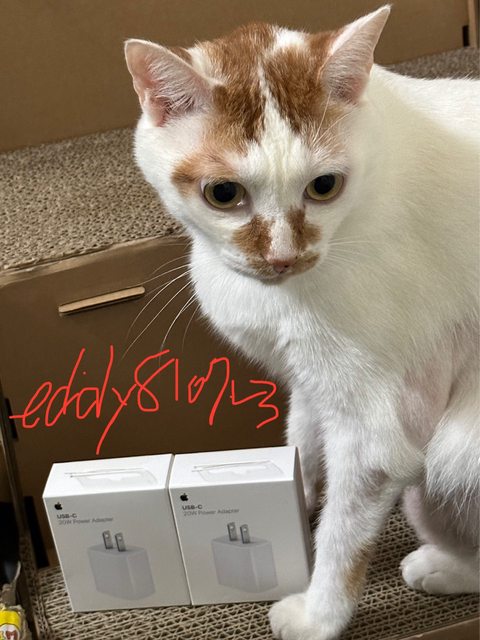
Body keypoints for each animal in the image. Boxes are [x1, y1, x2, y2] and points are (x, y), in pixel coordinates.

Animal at [125, 6, 479, 639]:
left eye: (324, 186)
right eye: (222, 193)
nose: (283, 257)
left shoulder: (373, 429)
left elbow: (342, 536)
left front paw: (319, 615)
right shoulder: (310, 383)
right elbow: (301, 448)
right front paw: (291, 498)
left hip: (450, 457)